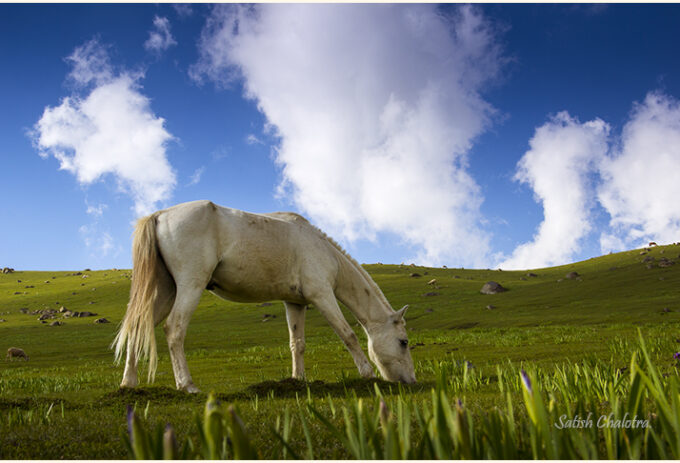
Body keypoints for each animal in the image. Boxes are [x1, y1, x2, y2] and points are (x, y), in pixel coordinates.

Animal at [113, 201, 414, 394]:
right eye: (403, 342)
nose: (410, 381)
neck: (324, 251)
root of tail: (159, 215)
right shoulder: (323, 296)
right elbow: (348, 335)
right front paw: (367, 374)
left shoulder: (296, 304)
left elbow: (297, 344)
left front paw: (298, 379)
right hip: (190, 286)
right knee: (174, 329)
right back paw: (187, 385)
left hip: (166, 291)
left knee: (139, 327)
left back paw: (128, 383)